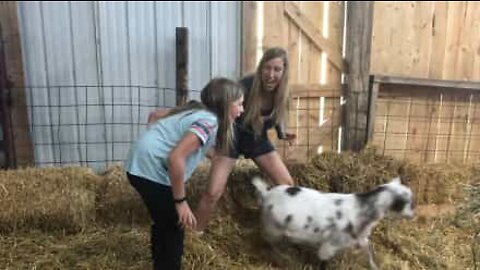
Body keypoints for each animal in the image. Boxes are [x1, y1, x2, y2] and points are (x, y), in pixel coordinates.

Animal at [253, 176, 414, 268]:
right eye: (407, 203)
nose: (413, 214)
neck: (363, 209)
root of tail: (266, 194)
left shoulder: (359, 238)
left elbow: (368, 250)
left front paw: (374, 266)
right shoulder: (331, 243)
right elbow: (323, 259)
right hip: (272, 228)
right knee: (268, 243)